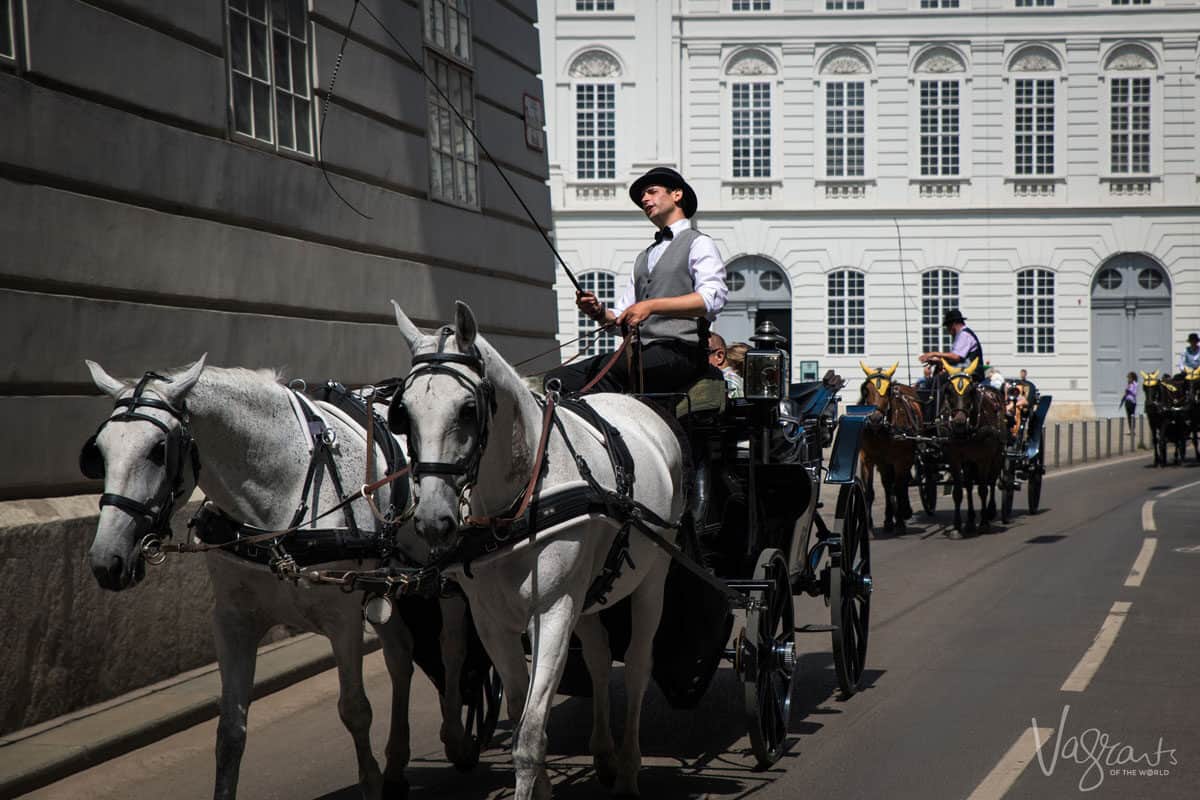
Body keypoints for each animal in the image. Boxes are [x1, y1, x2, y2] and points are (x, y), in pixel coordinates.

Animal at [82, 357, 477, 800]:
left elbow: (355, 709)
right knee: (400, 656)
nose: (106, 559)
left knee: (453, 645)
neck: (281, 499)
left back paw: (457, 738)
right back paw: (396, 763)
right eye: (99, 451)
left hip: (444, 577)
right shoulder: (234, 621)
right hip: (385, 585)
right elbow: (230, 731)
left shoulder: (342, 619)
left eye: (157, 450)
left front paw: (371, 781)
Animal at [386, 302, 686, 800]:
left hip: (655, 577)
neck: (518, 501)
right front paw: (544, 786)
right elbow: (520, 709)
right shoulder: (491, 620)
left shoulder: (552, 610)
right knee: (600, 657)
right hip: (587, 592)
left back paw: (627, 770)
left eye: (468, 409)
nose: (432, 519)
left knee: (638, 664)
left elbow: (528, 735)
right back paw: (604, 755)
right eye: (403, 413)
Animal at [859, 367, 921, 534]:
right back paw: (889, 519)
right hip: (884, 463)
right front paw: (868, 524)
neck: (881, 431)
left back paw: (904, 512)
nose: (875, 419)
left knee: (900, 484)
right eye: (866, 390)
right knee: (888, 485)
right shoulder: (867, 459)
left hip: (905, 458)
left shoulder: (901, 460)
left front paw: (899, 522)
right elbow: (869, 491)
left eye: (888, 391)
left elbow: (899, 487)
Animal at [936, 359, 1003, 534]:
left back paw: (991, 511)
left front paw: (984, 522)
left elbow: (983, 488)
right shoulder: (954, 458)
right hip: (968, 461)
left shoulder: (984, 458)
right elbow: (959, 491)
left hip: (998, 455)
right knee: (968, 484)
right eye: (948, 391)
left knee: (991, 481)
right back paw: (971, 520)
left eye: (971, 391)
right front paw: (957, 526)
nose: (959, 423)